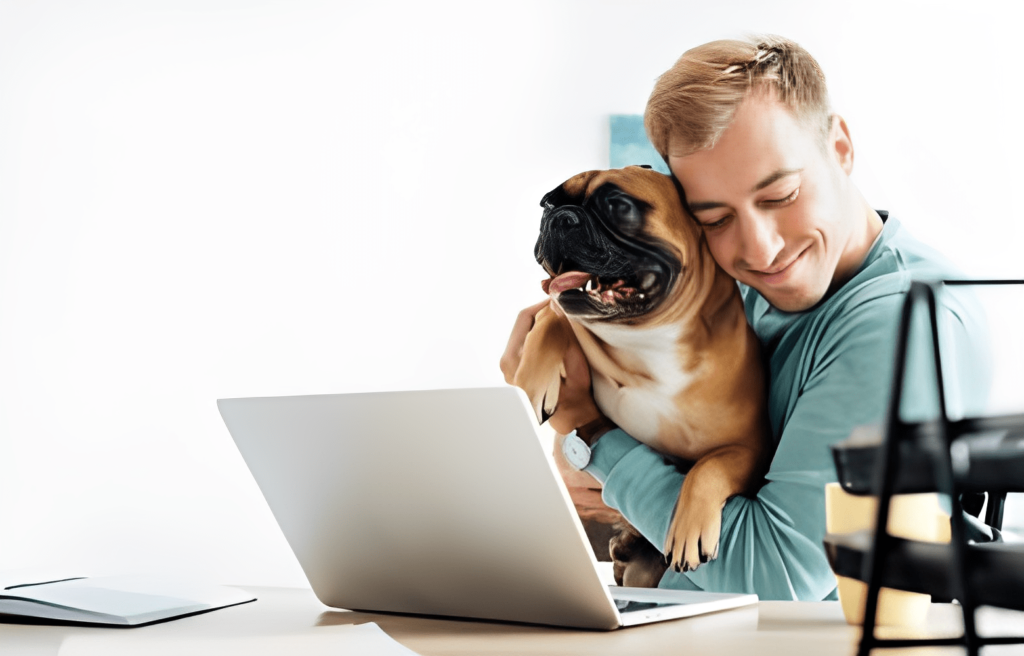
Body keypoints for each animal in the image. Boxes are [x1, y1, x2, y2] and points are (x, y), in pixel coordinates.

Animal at [512, 165, 770, 581]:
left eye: (618, 205)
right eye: (547, 204)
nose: (559, 217)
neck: (648, 338)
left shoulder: (748, 449)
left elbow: (709, 468)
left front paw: (689, 527)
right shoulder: (558, 310)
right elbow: (552, 318)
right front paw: (530, 383)